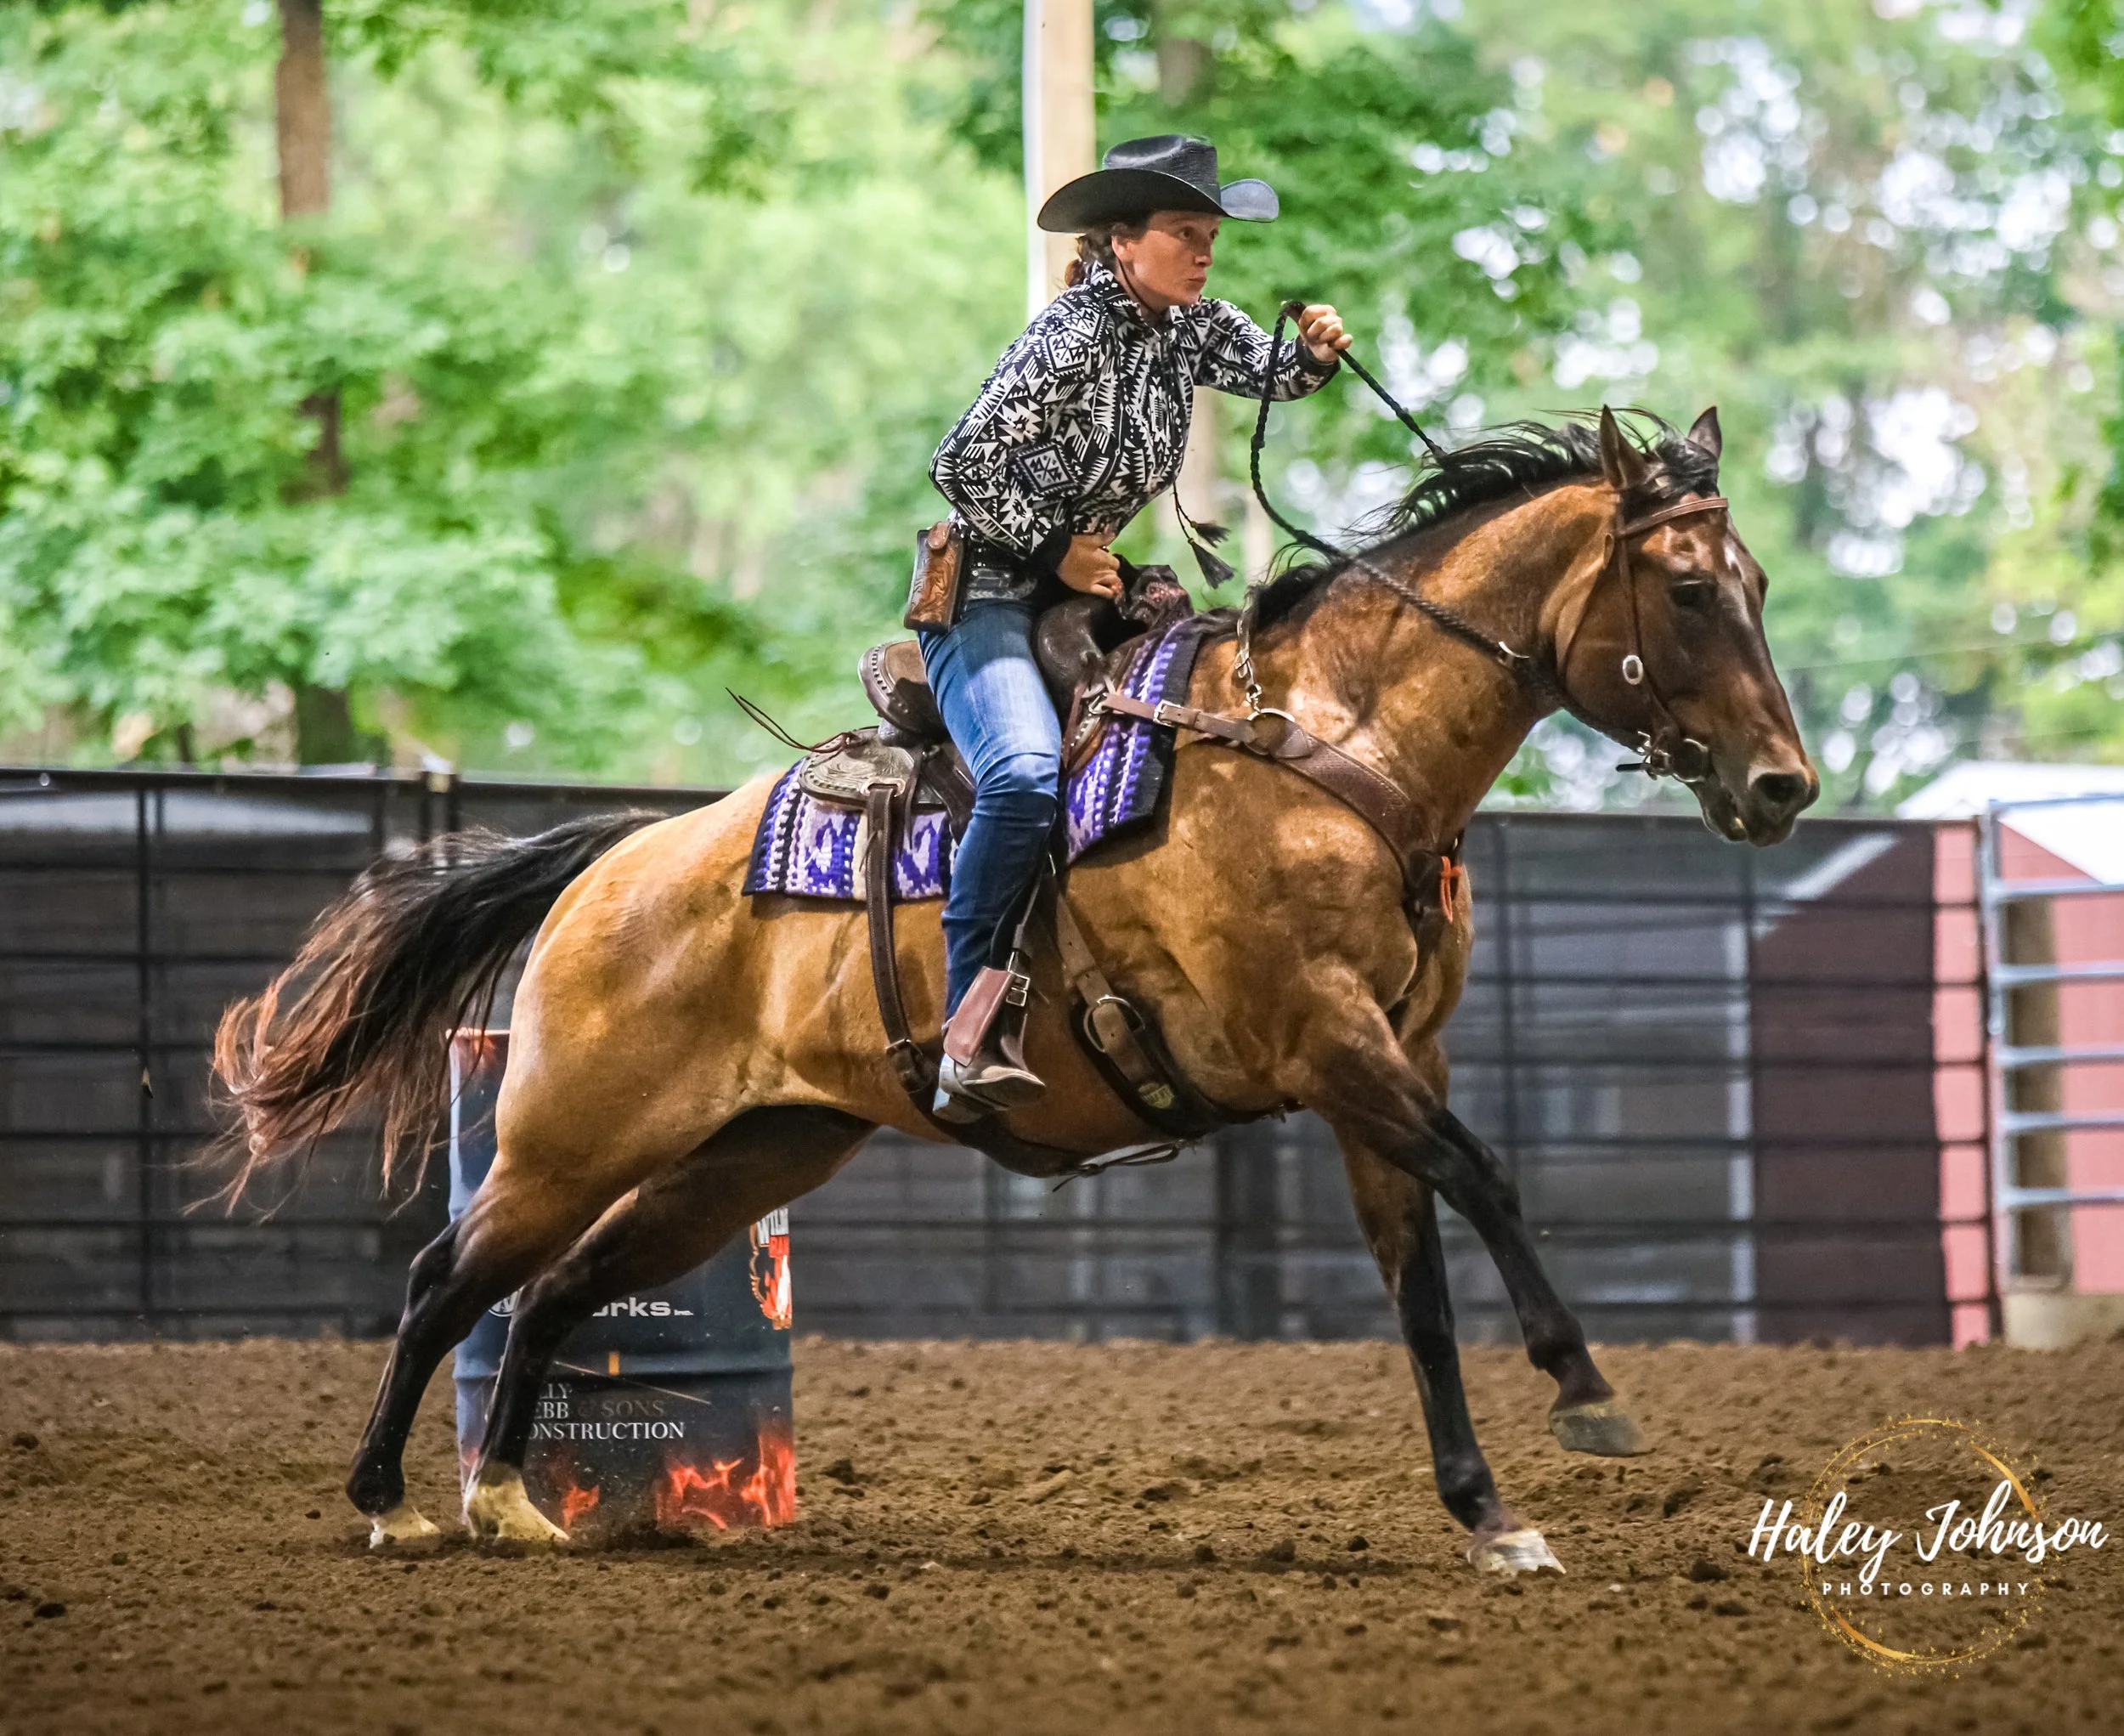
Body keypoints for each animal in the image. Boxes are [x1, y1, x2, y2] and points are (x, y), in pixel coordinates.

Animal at [212, 406, 1816, 1576]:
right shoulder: (1326, 1044)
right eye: (1687, 589)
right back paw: (393, 1497)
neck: (1334, 744)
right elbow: (1488, 1175)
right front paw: (1588, 1391)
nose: (1784, 785)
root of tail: (616, 863)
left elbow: (1417, 1281)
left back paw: (510, 1503)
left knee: (549, 1291)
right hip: (567, 1135)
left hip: (746, 1157)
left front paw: (1492, 1515)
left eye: (1755, 586)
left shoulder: (1386, 1070)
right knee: (448, 1276)